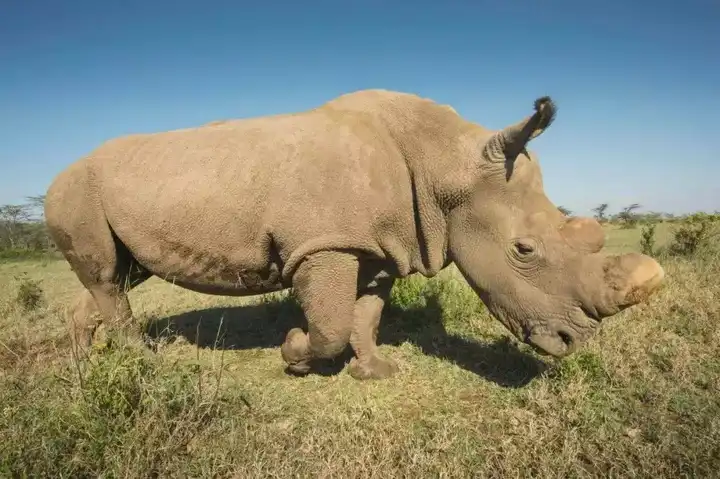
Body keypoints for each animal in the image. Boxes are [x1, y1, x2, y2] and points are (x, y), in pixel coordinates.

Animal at [43, 90, 664, 380]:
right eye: (523, 250)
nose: (574, 342)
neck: (445, 167)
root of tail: (56, 174)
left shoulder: (383, 246)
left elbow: (364, 317)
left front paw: (374, 372)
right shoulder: (325, 243)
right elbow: (331, 325)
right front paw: (294, 354)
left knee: (116, 277)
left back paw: (83, 363)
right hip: (75, 191)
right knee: (109, 277)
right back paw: (144, 364)